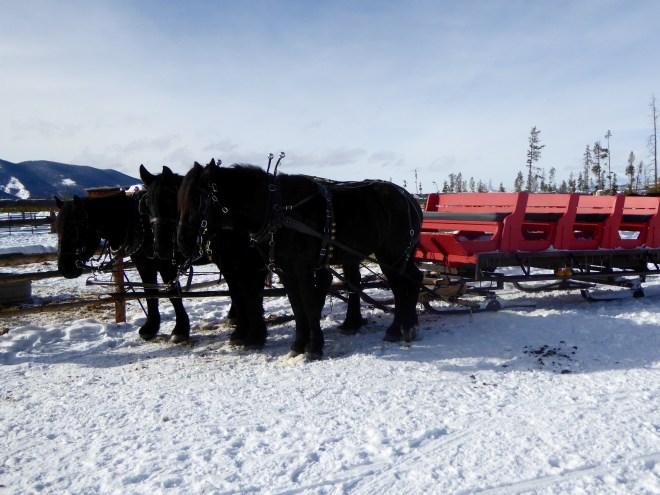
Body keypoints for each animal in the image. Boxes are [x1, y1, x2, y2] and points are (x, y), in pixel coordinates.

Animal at [54, 190, 191, 343]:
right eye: (57, 229)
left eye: (74, 231)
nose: (64, 268)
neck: (141, 222)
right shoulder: (145, 266)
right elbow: (150, 294)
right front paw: (150, 328)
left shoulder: (167, 267)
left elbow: (173, 296)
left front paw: (180, 330)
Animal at [176, 160, 423, 360]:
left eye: (197, 201)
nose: (181, 242)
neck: (278, 209)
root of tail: (410, 198)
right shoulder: (284, 270)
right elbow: (296, 306)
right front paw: (297, 345)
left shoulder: (302, 267)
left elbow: (309, 304)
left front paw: (313, 348)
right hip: (395, 255)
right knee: (410, 281)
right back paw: (404, 326)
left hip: (391, 253)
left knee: (403, 284)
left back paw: (400, 328)